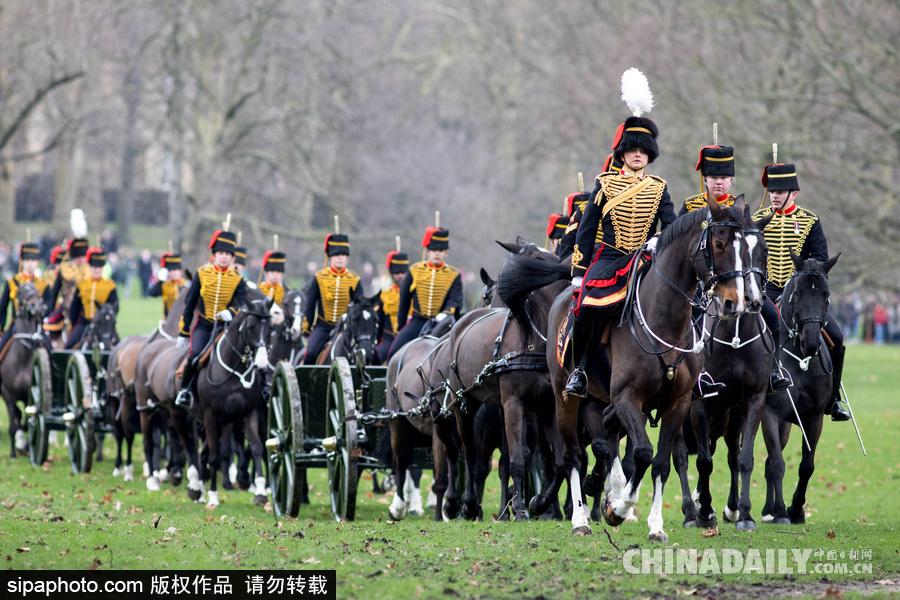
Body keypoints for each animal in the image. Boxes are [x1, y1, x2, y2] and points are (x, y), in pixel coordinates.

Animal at [0, 284, 45, 458]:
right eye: (20, 292)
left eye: (37, 291)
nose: (36, 306)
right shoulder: (7, 393)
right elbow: (14, 426)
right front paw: (13, 452)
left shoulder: (29, 394)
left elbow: (28, 419)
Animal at [502, 197, 756, 540]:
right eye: (718, 244)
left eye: (747, 250)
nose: (735, 303)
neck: (665, 323)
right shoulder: (626, 397)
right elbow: (642, 453)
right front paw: (618, 508)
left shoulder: (678, 403)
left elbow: (660, 462)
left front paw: (654, 524)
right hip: (565, 397)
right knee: (572, 455)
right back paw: (580, 518)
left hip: (604, 400)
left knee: (605, 438)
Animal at [676, 213, 772, 532]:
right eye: (738, 252)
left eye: (764, 251)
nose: (751, 300)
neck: (735, 338)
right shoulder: (699, 404)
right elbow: (703, 462)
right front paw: (704, 511)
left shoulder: (753, 401)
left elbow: (744, 458)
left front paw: (745, 515)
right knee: (681, 456)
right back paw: (691, 510)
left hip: (731, 415)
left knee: (730, 454)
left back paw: (729, 508)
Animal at [760, 251, 844, 524]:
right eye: (797, 293)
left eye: (826, 294)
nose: (811, 343)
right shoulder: (769, 414)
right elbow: (777, 463)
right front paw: (780, 512)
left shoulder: (813, 417)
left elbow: (806, 466)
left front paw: (795, 509)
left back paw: (766, 509)